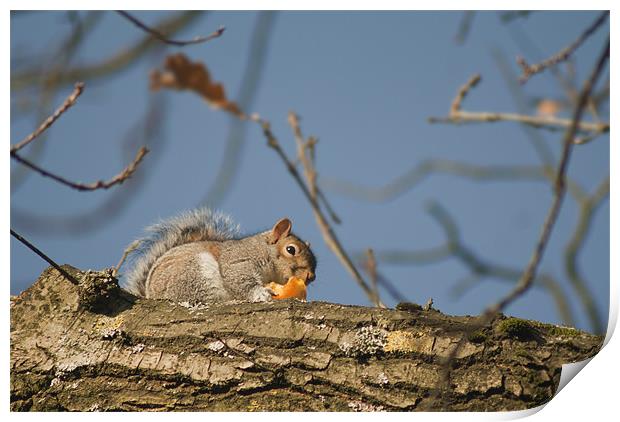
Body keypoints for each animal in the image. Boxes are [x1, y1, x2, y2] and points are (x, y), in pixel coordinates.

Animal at [120, 208, 318, 304]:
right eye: (291, 250)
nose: (311, 276)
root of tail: (150, 294)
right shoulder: (239, 260)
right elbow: (239, 279)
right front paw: (261, 293)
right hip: (195, 274)